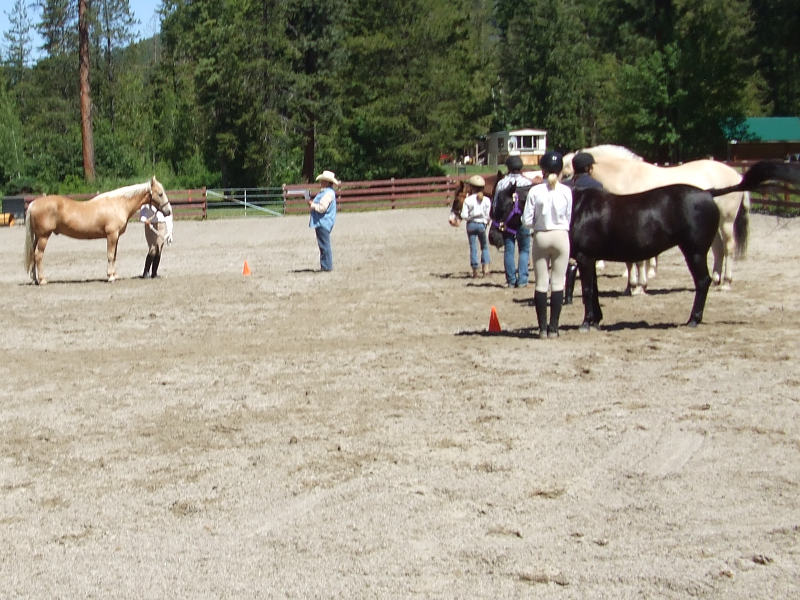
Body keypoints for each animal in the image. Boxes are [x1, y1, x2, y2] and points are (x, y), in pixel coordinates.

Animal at [25, 176, 171, 284]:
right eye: (160, 194)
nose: (168, 211)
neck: (118, 204)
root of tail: (33, 204)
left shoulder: (116, 237)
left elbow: (114, 256)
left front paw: (114, 275)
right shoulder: (112, 235)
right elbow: (110, 255)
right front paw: (110, 277)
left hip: (37, 236)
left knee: (33, 255)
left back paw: (34, 279)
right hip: (44, 236)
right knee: (38, 255)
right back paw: (42, 280)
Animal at [564, 145, 752, 290]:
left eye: (566, 174)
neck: (626, 177)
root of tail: (737, 175)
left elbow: (638, 261)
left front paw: (639, 285)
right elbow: (630, 261)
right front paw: (631, 285)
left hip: (727, 221)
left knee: (729, 248)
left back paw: (726, 282)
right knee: (718, 249)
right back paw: (715, 280)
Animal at [568, 159, 800, 328]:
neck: (577, 207)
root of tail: (708, 192)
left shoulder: (585, 258)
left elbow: (587, 290)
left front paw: (586, 322)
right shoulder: (590, 258)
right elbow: (594, 289)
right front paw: (596, 319)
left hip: (695, 251)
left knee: (703, 281)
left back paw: (694, 319)